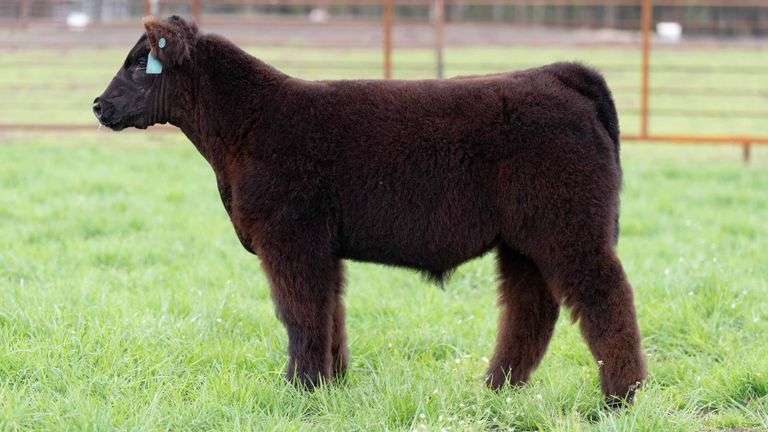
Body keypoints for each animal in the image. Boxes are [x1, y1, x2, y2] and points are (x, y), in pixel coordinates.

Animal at [94, 15, 646, 405]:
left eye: (140, 63)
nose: (98, 105)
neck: (246, 126)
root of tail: (559, 74)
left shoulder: (290, 238)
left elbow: (299, 312)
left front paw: (299, 388)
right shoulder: (322, 247)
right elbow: (329, 311)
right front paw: (331, 384)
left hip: (569, 228)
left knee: (606, 297)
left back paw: (621, 397)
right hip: (523, 241)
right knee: (530, 308)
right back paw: (497, 388)